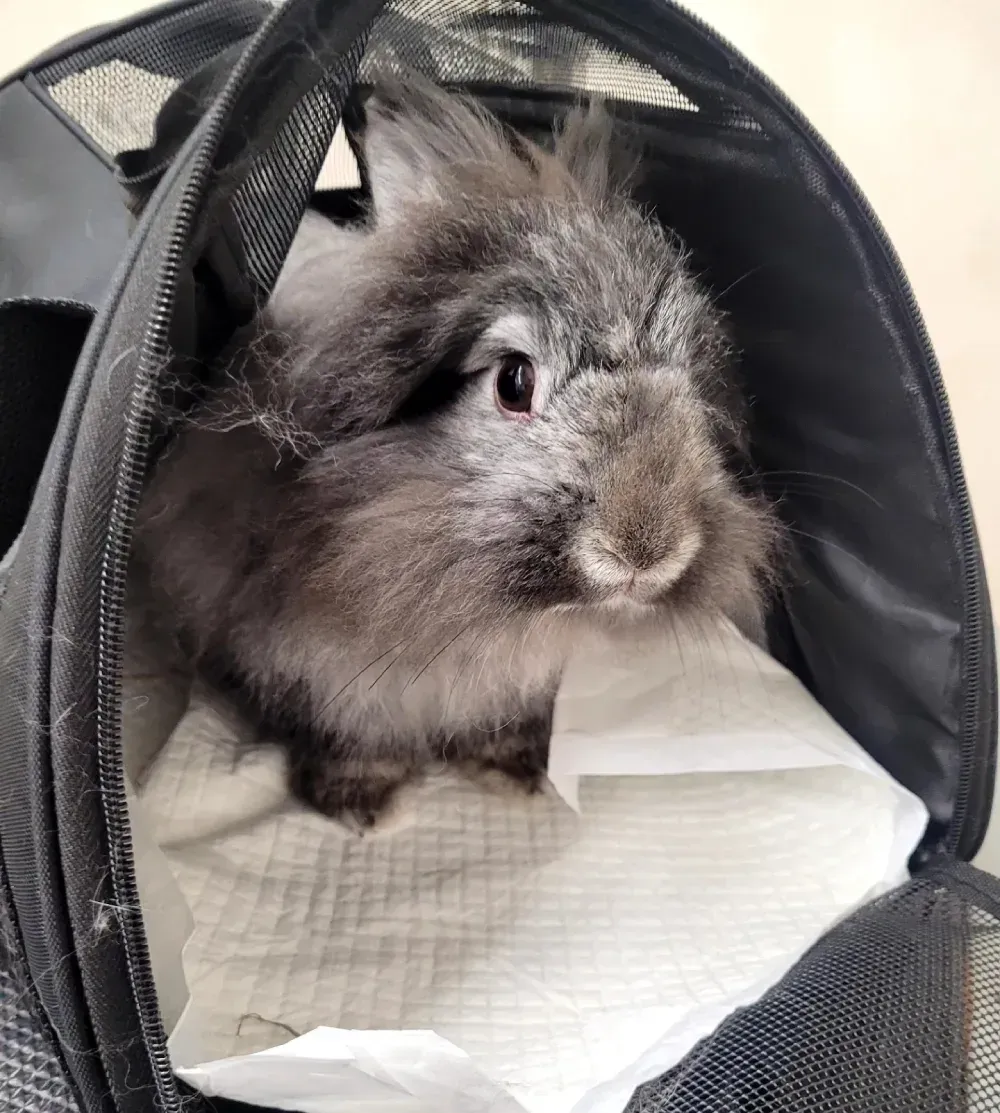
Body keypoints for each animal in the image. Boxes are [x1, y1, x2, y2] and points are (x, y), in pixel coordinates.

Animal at [132, 75, 778, 832]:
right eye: (514, 382)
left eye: (694, 382)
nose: (645, 553)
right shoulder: (314, 664)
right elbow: (353, 734)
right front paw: (363, 804)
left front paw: (515, 771)